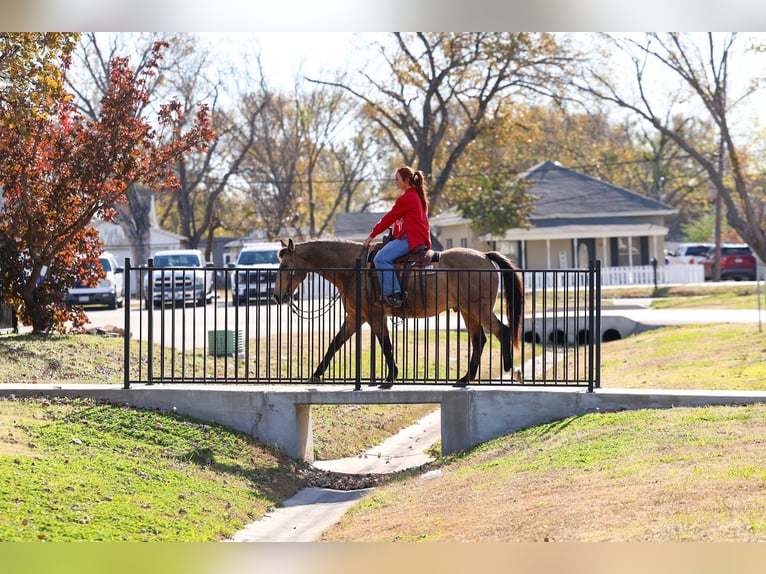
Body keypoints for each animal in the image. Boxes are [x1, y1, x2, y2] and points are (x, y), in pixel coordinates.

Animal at [273, 238, 524, 388]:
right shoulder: (355, 317)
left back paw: (509, 368)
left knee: (501, 331)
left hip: (478, 309)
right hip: (467, 310)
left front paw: (390, 377)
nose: (277, 296)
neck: (354, 269)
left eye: (285, 267)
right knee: (480, 339)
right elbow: (335, 343)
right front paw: (316, 374)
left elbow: (386, 345)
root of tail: (485, 257)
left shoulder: (373, 316)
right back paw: (465, 378)